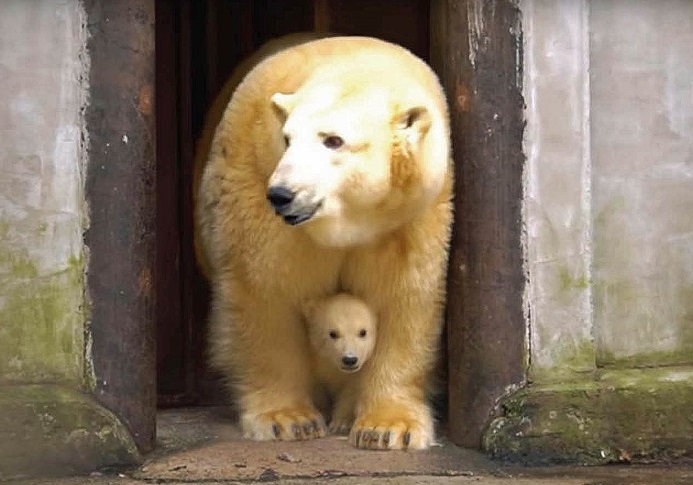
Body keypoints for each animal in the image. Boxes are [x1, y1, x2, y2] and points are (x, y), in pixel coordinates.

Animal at [196, 35, 454, 450]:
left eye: (334, 140)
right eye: (287, 138)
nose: (282, 194)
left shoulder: (410, 217)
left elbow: (404, 296)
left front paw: (388, 428)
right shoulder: (256, 189)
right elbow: (266, 292)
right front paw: (288, 419)